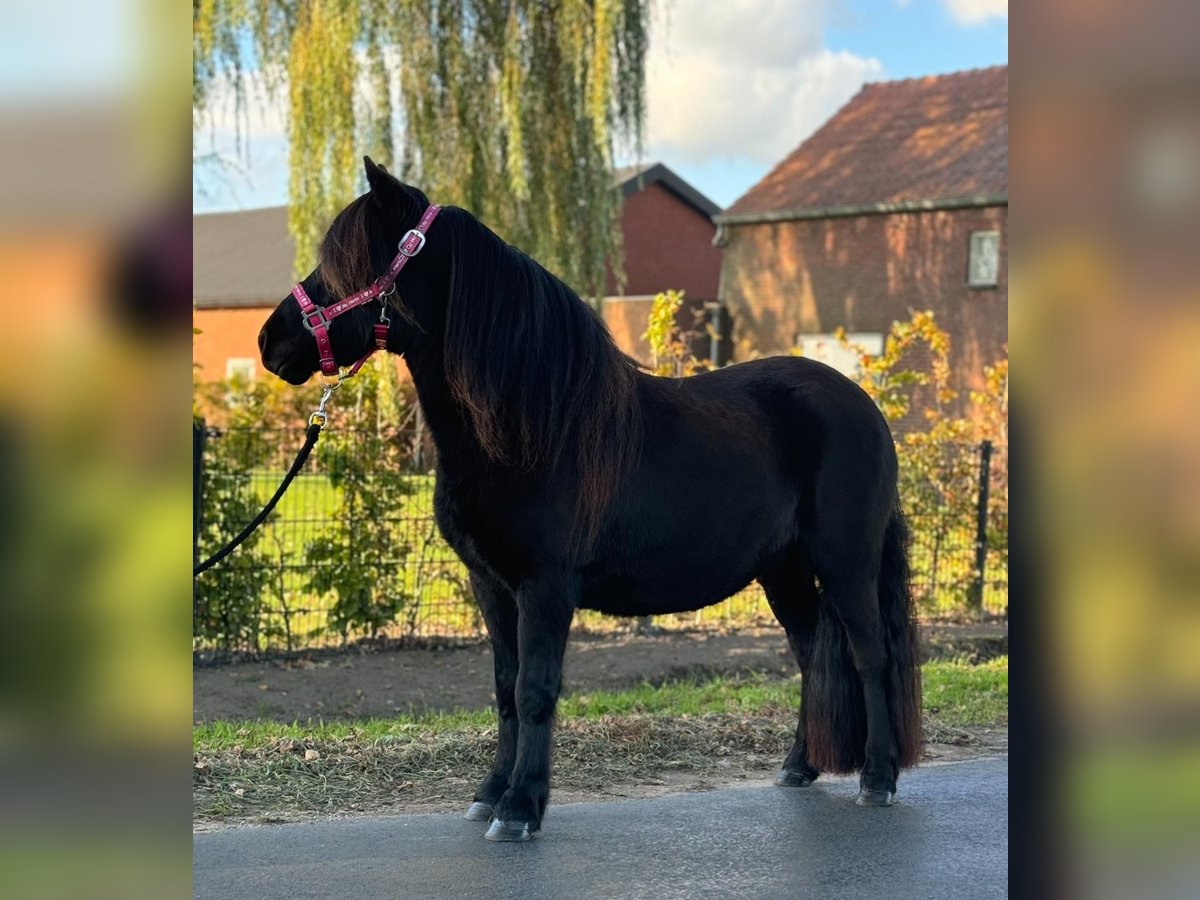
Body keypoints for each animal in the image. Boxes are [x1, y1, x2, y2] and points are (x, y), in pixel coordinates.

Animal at [260, 158, 916, 844]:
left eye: (350, 264)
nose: (269, 340)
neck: (530, 427)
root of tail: (866, 407)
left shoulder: (545, 586)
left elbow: (535, 691)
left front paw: (520, 808)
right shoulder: (491, 585)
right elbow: (505, 688)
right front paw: (490, 796)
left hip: (846, 563)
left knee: (870, 655)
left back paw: (878, 778)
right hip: (783, 570)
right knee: (813, 654)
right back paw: (799, 767)